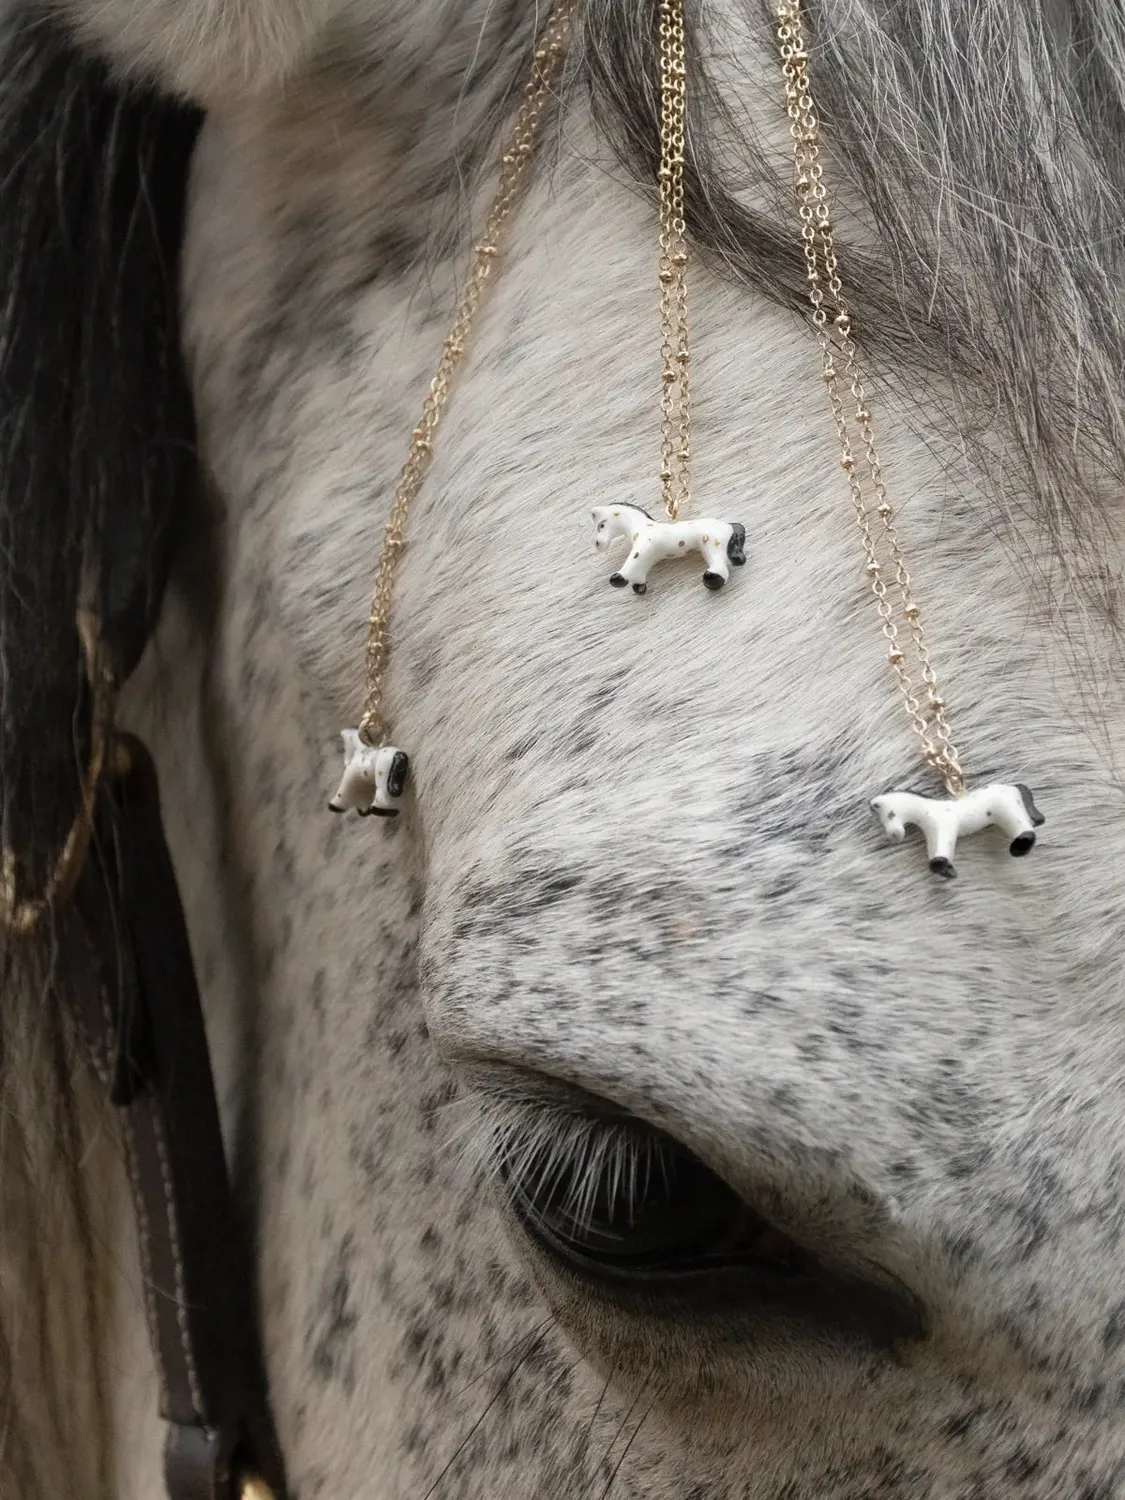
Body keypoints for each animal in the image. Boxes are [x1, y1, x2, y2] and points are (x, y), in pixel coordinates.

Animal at [591, 503, 748, 592]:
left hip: (713, 548)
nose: (598, 544)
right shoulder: (649, 557)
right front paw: (639, 587)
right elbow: (640, 572)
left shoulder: (641, 550)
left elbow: (631, 563)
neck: (639, 526)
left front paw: (618, 579)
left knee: (721, 569)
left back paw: (710, 580)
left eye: (601, 525)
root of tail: (729, 526)